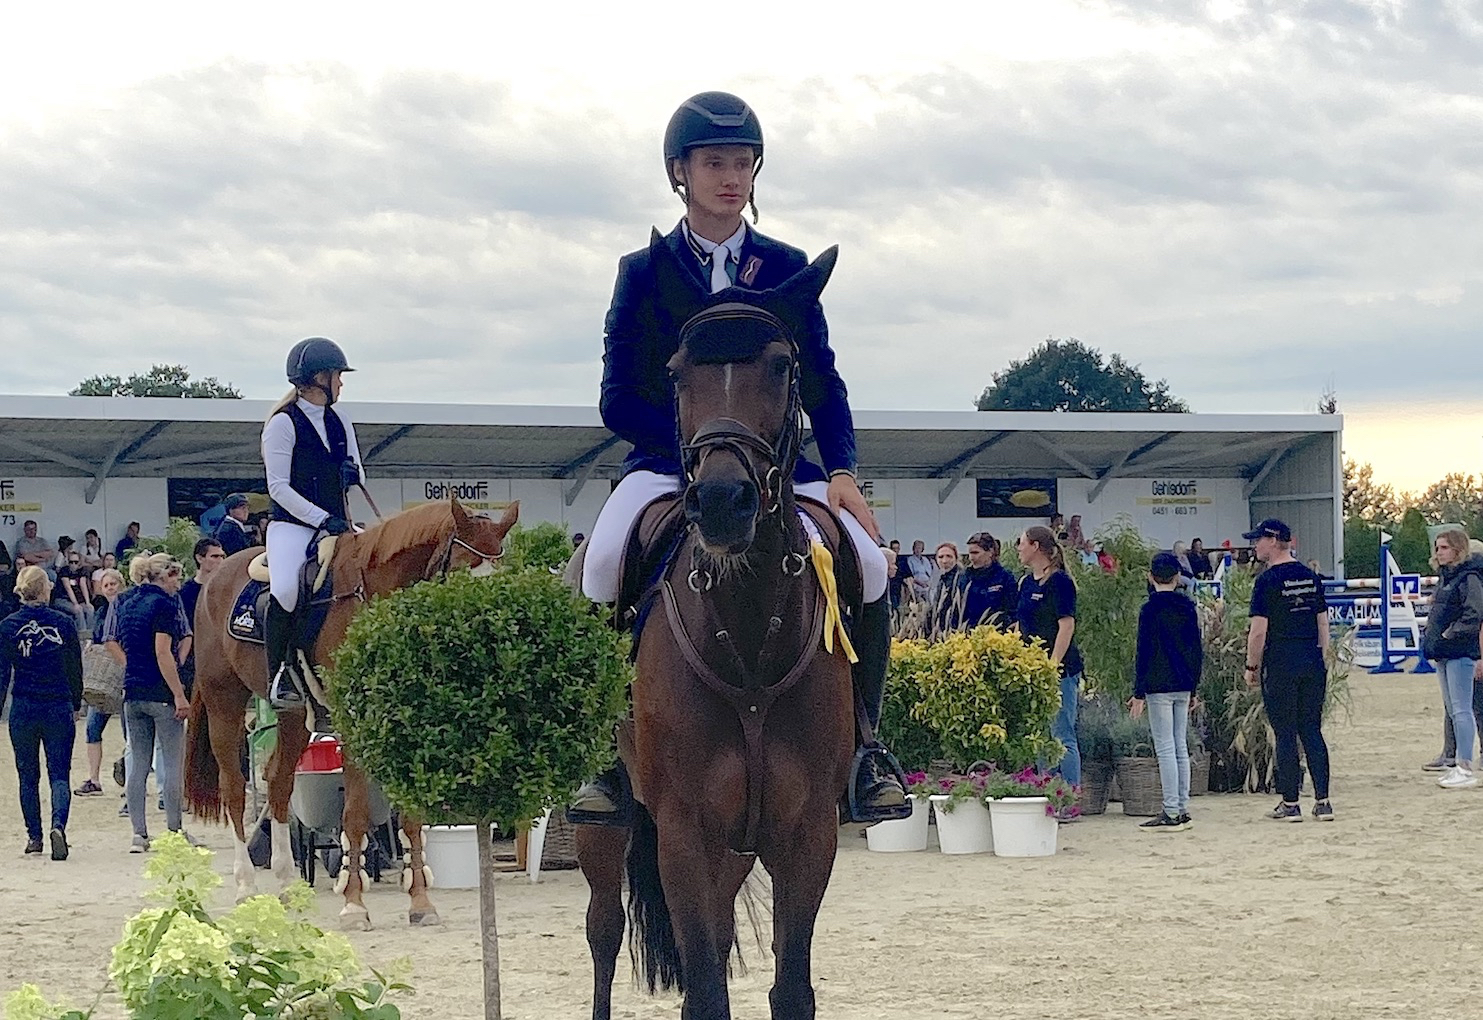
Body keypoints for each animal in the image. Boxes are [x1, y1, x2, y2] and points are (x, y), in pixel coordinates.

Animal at [185, 498, 516, 931]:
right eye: (461, 573)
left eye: (501, 578)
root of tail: (214, 577)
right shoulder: (354, 722)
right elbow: (355, 814)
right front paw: (355, 905)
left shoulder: (398, 720)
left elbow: (410, 818)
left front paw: (421, 903)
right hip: (223, 701)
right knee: (235, 789)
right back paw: (246, 888)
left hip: (293, 716)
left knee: (278, 782)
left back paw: (287, 886)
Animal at [578, 243, 860, 1014]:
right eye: (677, 372)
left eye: (783, 364)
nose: (723, 502)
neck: (749, 641)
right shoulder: (684, 833)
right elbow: (705, 991)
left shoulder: (807, 835)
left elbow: (789, 988)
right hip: (609, 828)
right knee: (604, 931)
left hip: (738, 848)